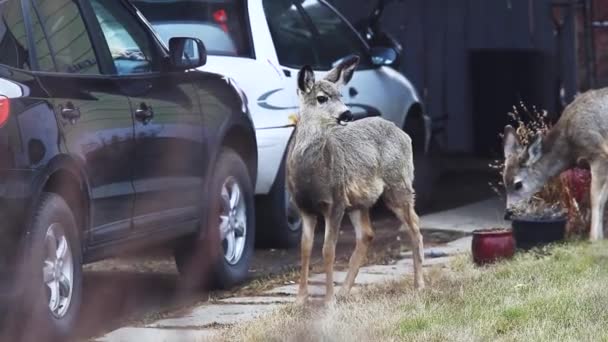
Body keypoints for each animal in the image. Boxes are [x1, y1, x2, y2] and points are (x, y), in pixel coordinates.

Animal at [286, 55, 422, 304]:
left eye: (341, 95)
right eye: (322, 98)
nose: (347, 114)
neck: (311, 177)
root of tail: (404, 134)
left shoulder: (336, 201)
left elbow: (328, 249)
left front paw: (328, 300)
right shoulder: (304, 207)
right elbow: (305, 248)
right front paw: (300, 300)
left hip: (399, 183)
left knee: (414, 225)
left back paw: (419, 285)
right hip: (360, 201)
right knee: (367, 234)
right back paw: (344, 291)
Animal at [506, 88, 608, 242]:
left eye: (518, 184)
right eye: (504, 182)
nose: (508, 212)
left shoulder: (598, 153)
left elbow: (596, 197)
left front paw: (594, 238)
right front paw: (600, 236)